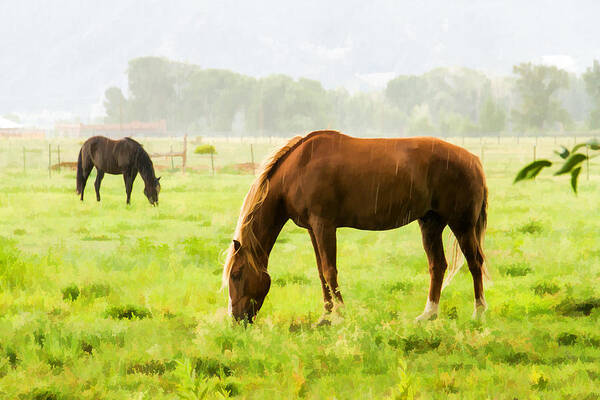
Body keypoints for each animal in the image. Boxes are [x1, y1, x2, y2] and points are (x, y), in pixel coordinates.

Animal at [220, 130, 488, 324]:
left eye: (236, 274)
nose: (237, 320)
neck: (298, 169)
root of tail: (474, 160)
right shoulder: (312, 229)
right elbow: (321, 272)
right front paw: (326, 316)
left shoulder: (324, 225)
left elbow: (330, 270)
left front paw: (340, 314)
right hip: (431, 223)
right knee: (437, 265)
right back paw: (429, 314)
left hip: (462, 225)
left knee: (475, 263)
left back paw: (478, 313)